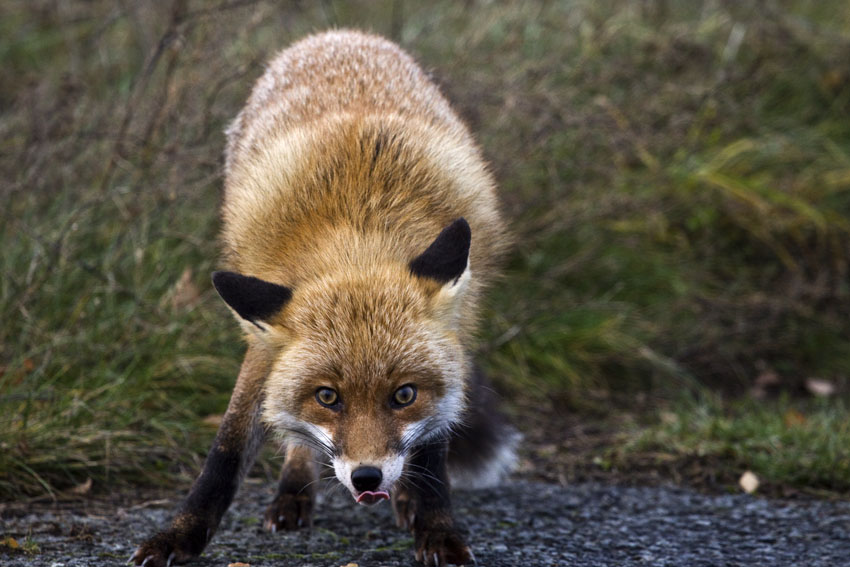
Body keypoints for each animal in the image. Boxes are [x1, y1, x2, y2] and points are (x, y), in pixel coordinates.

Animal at [132, 30, 516, 567]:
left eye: (404, 395)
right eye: (327, 397)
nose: (367, 478)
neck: (358, 235)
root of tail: (340, 34)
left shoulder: (452, 342)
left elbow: (433, 448)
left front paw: (436, 527)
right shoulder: (263, 345)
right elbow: (227, 450)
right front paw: (179, 534)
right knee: (293, 437)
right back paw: (294, 492)